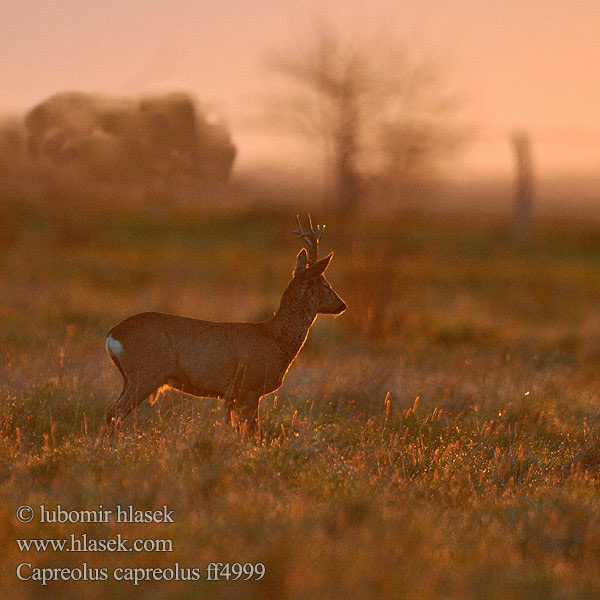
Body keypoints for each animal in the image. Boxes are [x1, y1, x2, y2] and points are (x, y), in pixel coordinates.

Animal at [105, 213, 344, 442]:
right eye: (326, 285)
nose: (342, 305)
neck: (275, 338)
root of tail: (112, 335)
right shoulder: (249, 387)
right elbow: (253, 433)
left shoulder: (232, 395)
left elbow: (234, 428)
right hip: (145, 374)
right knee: (114, 414)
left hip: (130, 377)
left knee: (112, 414)